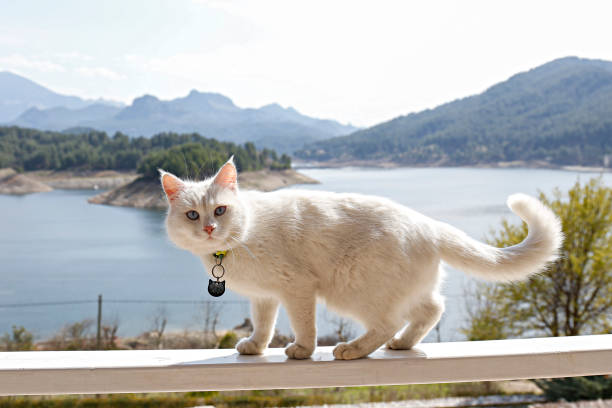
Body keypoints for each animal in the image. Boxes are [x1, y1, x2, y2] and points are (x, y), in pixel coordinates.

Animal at [160, 158, 560, 358]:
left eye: (220, 210)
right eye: (193, 215)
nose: (209, 228)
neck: (236, 243)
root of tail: (428, 224)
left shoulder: (297, 288)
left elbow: (304, 325)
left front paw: (302, 350)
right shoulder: (264, 296)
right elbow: (263, 325)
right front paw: (255, 348)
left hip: (350, 287)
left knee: (388, 323)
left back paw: (352, 349)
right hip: (402, 288)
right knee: (431, 309)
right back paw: (404, 344)